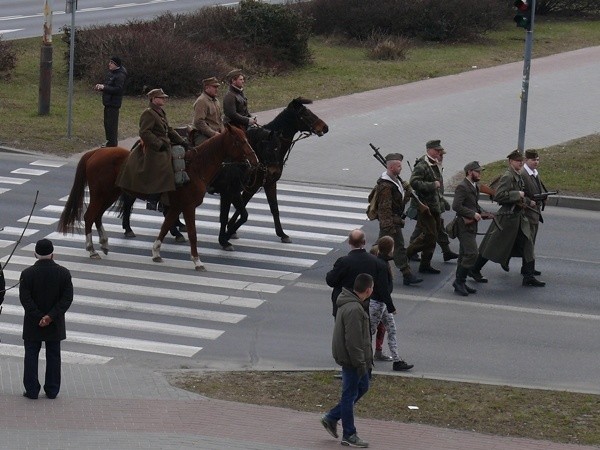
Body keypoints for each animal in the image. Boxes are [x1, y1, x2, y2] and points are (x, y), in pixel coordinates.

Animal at [56, 124, 260, 270]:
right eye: (239, 140)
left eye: (247, 138)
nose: (255, 160)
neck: (196, 167)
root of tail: (96, 152)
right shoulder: (188, 206)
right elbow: (192, 233)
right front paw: (197, 260)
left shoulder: (177, 207)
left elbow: (165, 227)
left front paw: (156, 252)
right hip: (100, 195)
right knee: (89, 216)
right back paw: (92, 250)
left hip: (110, 195)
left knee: (97, 216)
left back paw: (104, 244)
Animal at [213, 96, 328, 250]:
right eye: (305, 114)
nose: (325, 127)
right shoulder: (252, 186)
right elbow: (242, 206)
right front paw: (230, 229)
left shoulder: (270, 183)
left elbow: (274, 208)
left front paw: (282, 234)